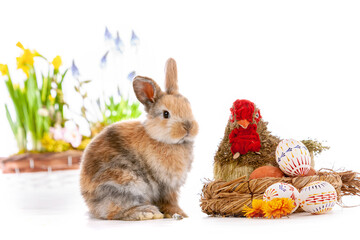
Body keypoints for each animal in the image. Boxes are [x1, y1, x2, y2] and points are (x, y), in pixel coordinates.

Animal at [79, 57, 200, 220]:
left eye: (188, 106)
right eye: (166, 114)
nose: (188, 127)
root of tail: (91, 203)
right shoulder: (167, 186)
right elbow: (170, 201)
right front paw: (180, 213)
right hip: (125, 181)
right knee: (115, 213)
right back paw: (146, 212)